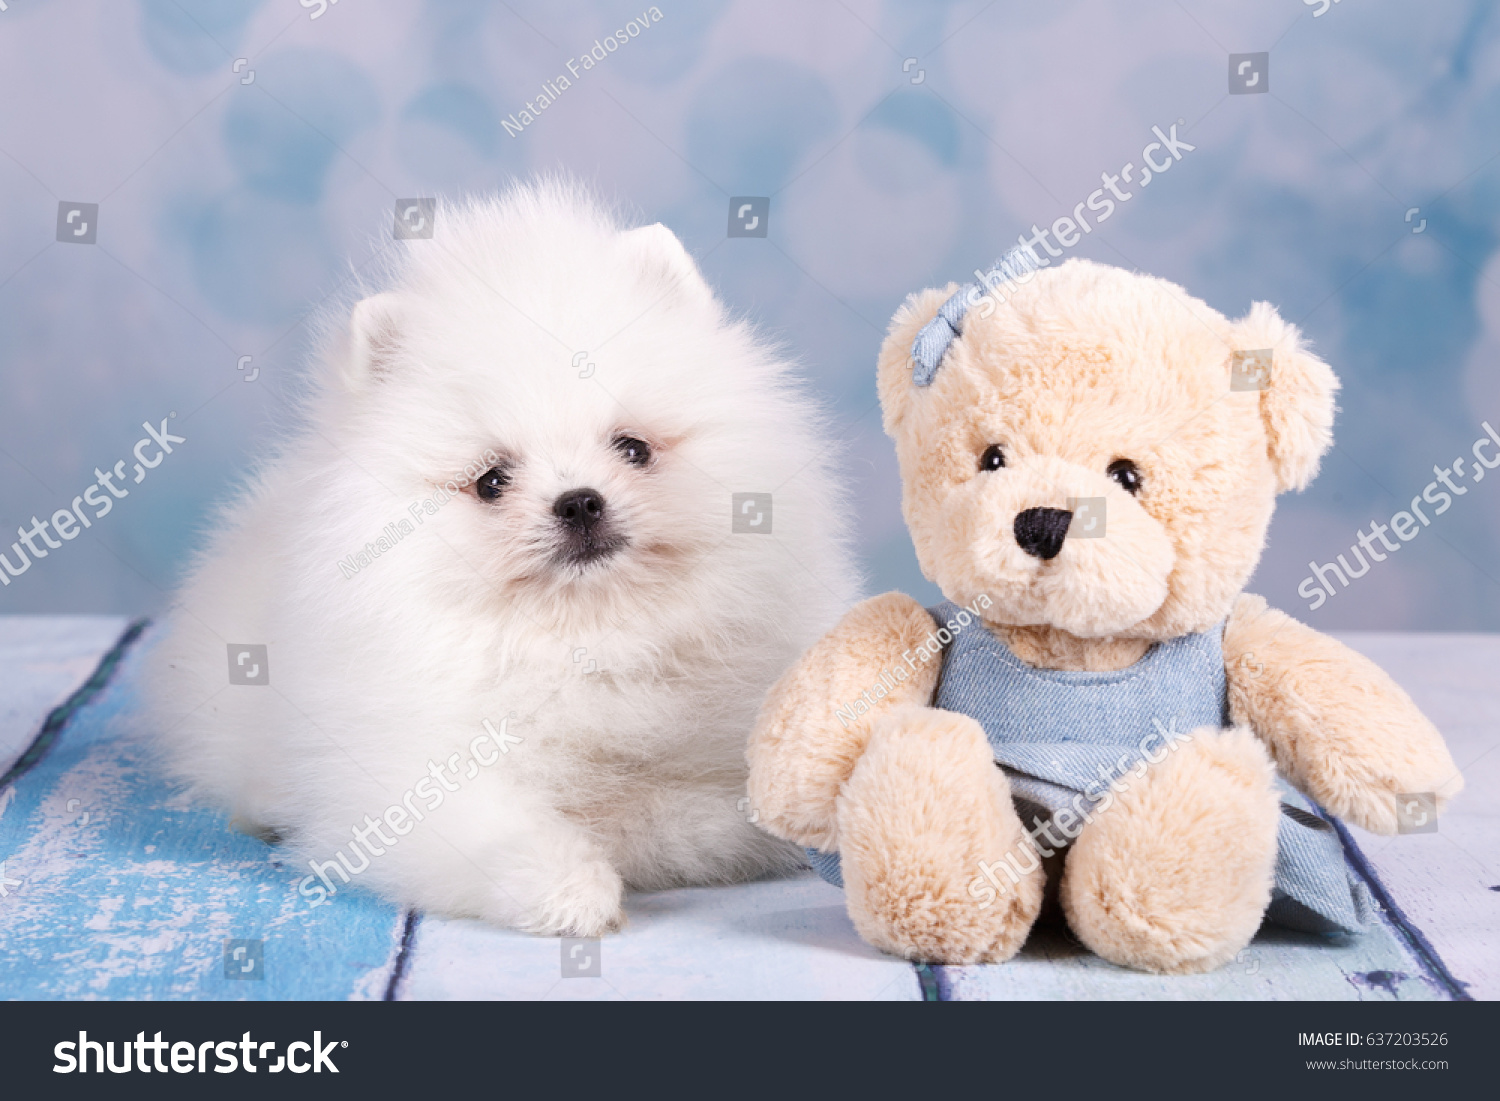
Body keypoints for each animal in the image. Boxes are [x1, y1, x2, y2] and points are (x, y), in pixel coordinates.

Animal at [152, 183, 864, 942]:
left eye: (632, 448)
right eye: (492, 481)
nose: (579, 502)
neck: (584, 638)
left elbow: (679, 810)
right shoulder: (408, 779)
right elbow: (506, 833)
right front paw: (573, 888)